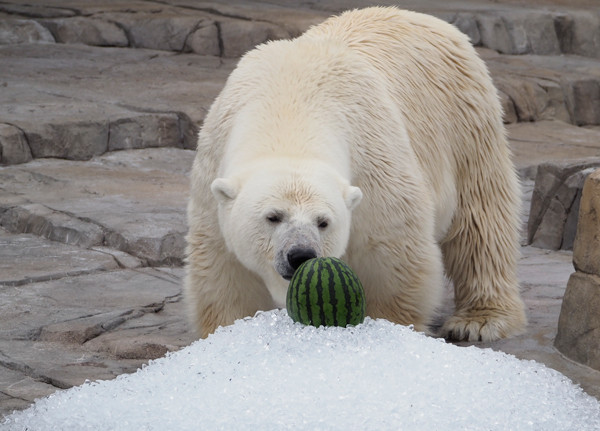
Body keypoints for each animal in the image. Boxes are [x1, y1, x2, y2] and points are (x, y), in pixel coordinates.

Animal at [183, 5, 524, 340]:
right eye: (273, 216)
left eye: (323, 221)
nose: (301, 255)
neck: (289, 106)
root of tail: (416, 15)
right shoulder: (213, 173)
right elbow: (224, 269)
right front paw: (228, 333)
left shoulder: (373, 163)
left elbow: (392, 251)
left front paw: (387, 326)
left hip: (463, 119)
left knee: (480, 218)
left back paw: (479, 320)